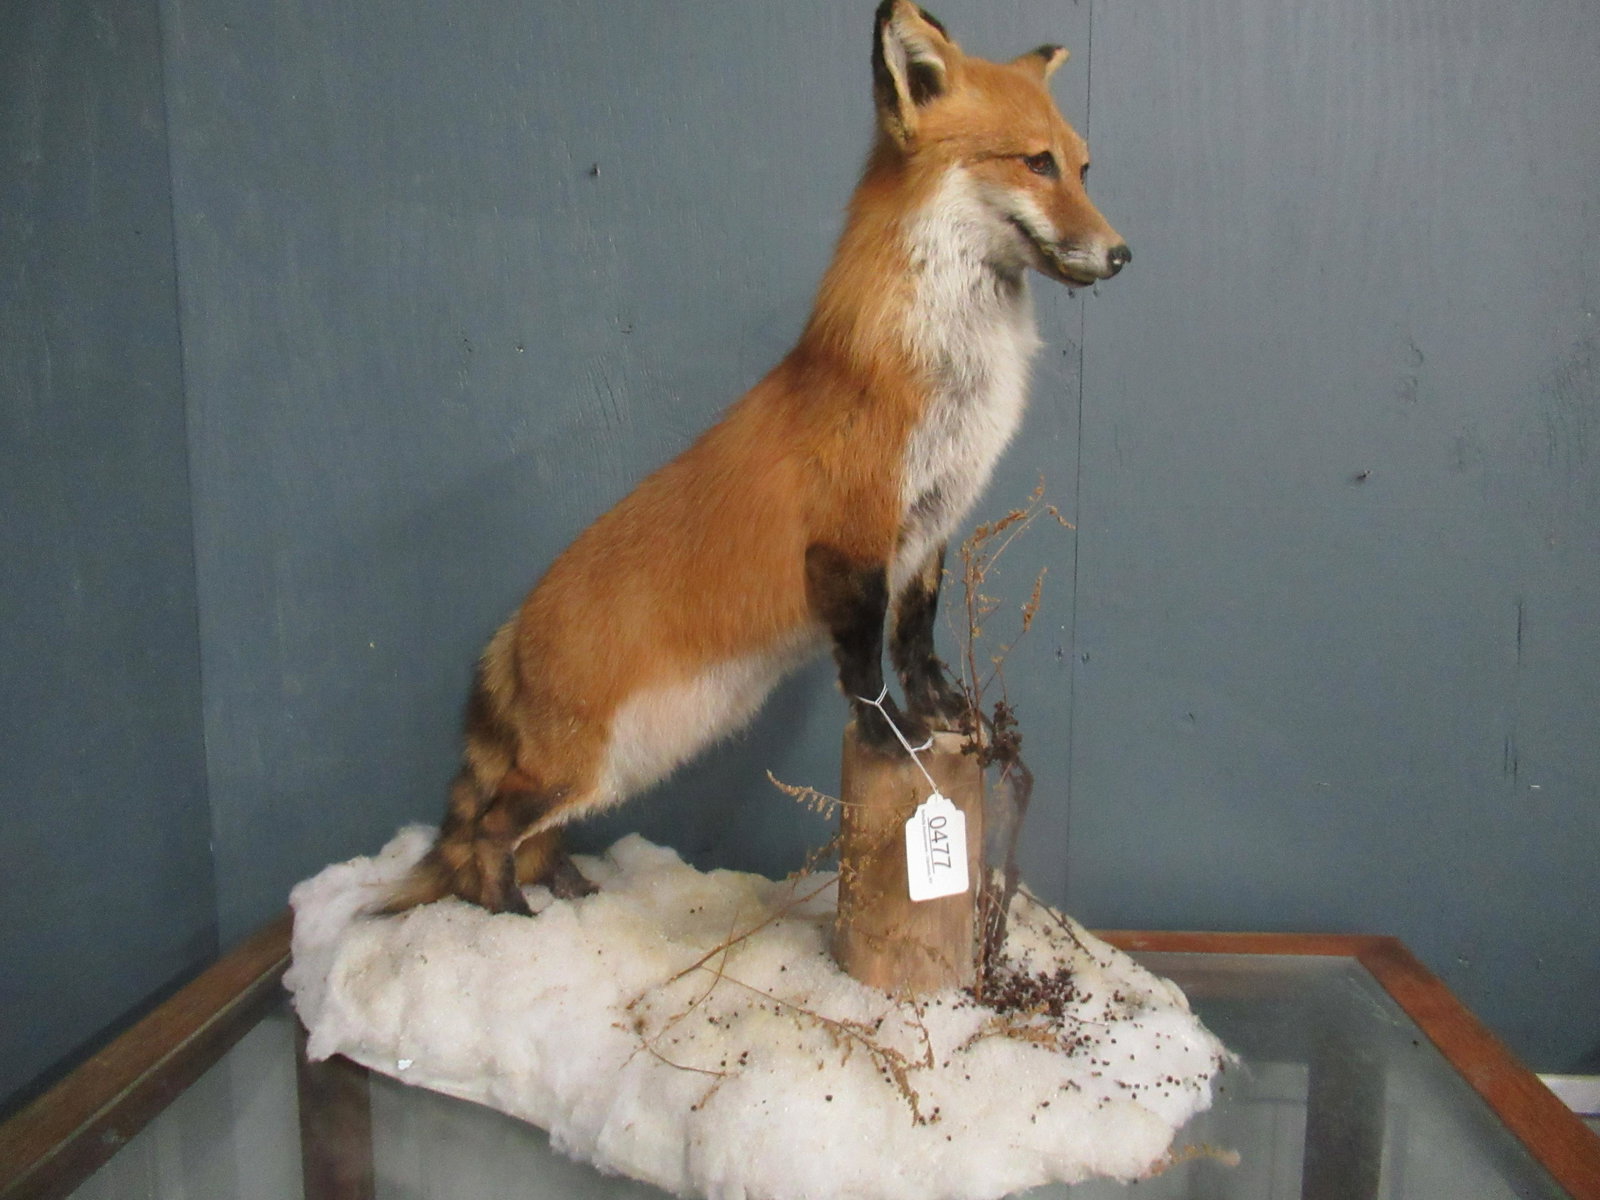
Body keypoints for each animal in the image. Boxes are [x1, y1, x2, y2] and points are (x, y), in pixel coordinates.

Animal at [384, 0, 1129, 916]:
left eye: (1085, 168)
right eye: (1037, 163)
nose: (1122, 253)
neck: (948, 385)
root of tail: (514, 631)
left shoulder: (929, 526)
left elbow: (916, 640)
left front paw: (948, 716)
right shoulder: (851, 540)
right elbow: (865, 670)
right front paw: (897, 737)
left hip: (613, 773)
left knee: (526, 834)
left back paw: (569, 897)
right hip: (580, 768)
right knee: (489, 831)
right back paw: (511, 919)